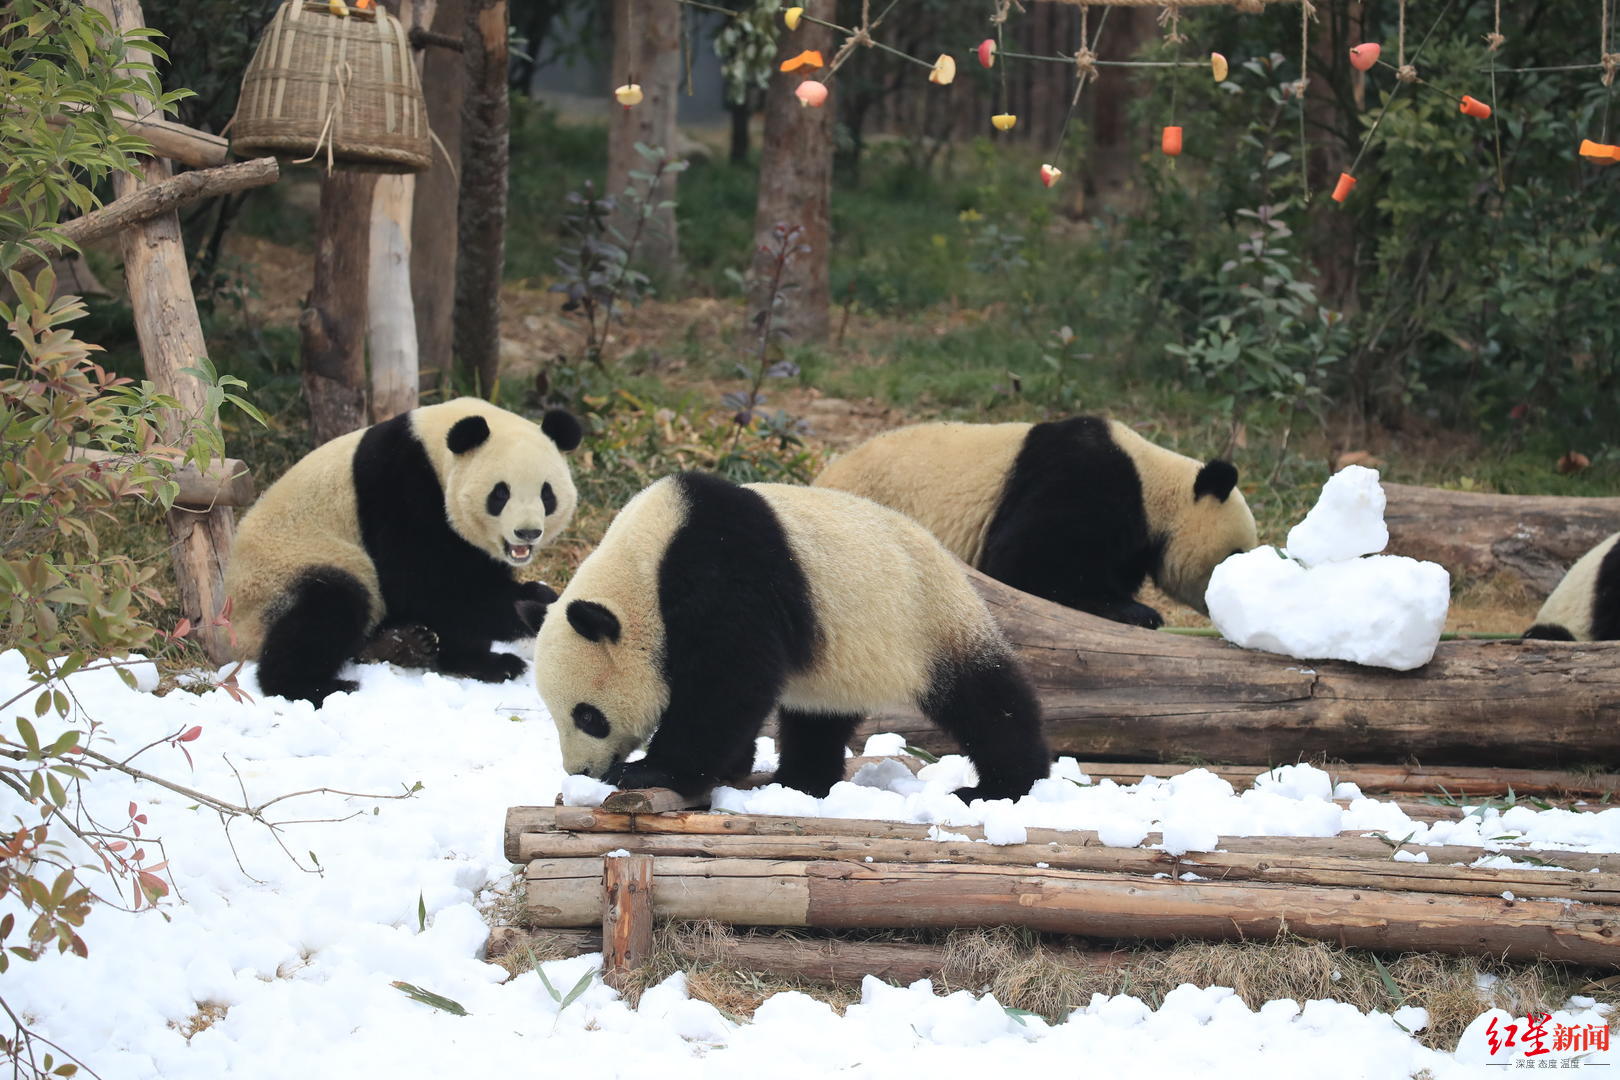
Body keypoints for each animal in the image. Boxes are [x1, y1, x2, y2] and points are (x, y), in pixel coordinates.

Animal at [225, 396, 583, 702]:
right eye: (500, 493)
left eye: (546, 493)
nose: (527, 533)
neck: (434, 449)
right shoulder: (399, 484)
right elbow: (424, 585)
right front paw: (536, 601)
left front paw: (481, 662)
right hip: (287, 570)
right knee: (328, 607)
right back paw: (315, 686)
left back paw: (402, 644)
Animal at [531, 472, 1049, 803]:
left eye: (588, 716)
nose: (580, 771)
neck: (643, 564)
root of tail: (950, 561)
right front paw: (732, 766)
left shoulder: (723, 571)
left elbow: (730, 680)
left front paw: (647, 771)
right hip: (843, 659)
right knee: (817, 717)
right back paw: (801, 781)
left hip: (929, 619)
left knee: (986, 701)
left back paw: (1003, 786)